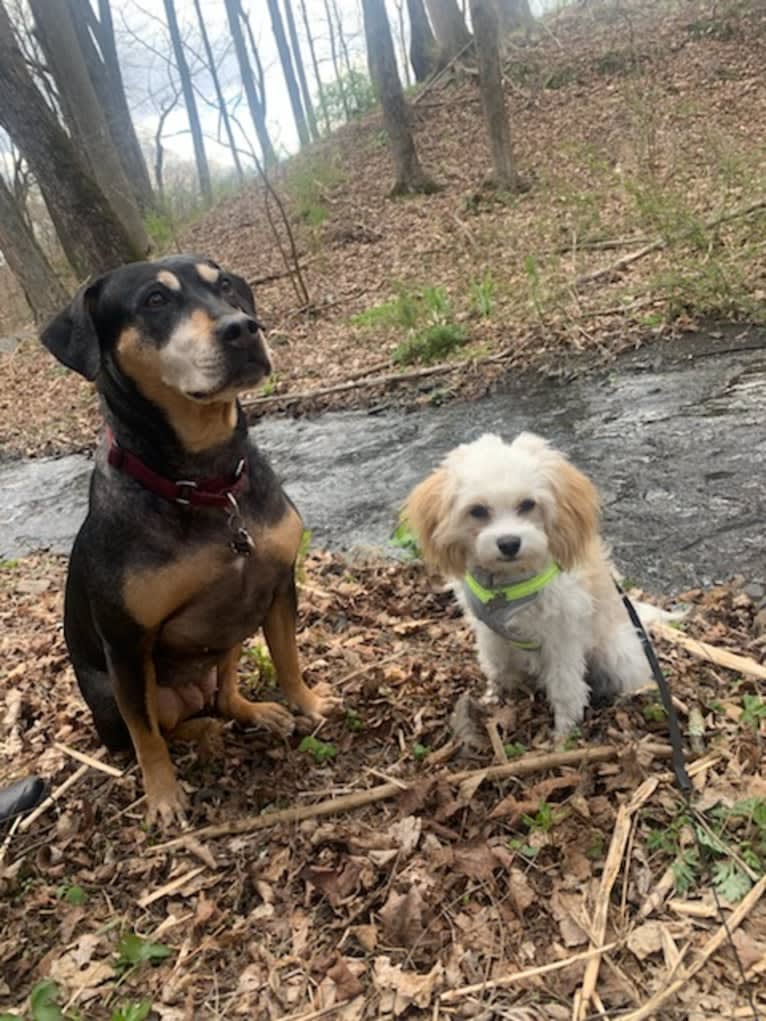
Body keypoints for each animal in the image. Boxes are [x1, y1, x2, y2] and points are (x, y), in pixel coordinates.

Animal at [41, 255, 341, 829]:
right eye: (155, 300)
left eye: (224, 285)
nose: (243, 328)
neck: (205, 480)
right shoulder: (127, 645)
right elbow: (145, 737)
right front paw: (162, 796)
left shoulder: (277, 585)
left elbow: (288, 656)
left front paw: (307, 702)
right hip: (119, 695)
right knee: (156, 727)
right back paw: (200, 731)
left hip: (230, 636)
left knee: (223, 692)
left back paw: (253, 711)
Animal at [404, 430, 649, 735]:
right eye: (478, 510)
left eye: (528, 504)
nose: (509, 543)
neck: (508, 584)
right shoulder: (490, 633)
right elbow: (497, 667)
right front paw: (496, 698)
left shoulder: (562, 636)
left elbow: (566, 687)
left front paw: (564, 733)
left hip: (616, 652)